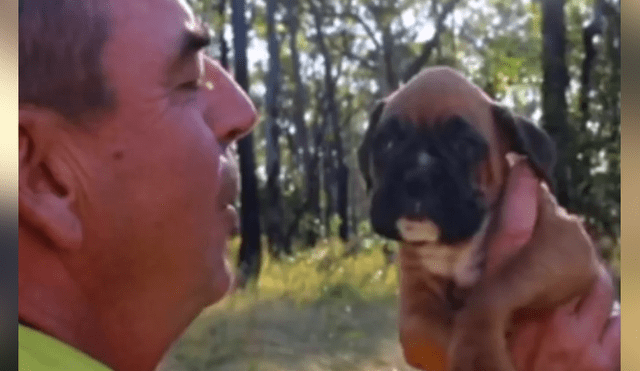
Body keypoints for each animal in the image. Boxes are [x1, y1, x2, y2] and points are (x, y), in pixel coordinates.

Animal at [360, 67, 604, 371]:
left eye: (464, 145)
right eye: (387, 142)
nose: (417, 177)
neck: (455, 247)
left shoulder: (562, 243)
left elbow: (497, 285)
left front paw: (478, 354)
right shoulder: (415, 295)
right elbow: (422, 332)